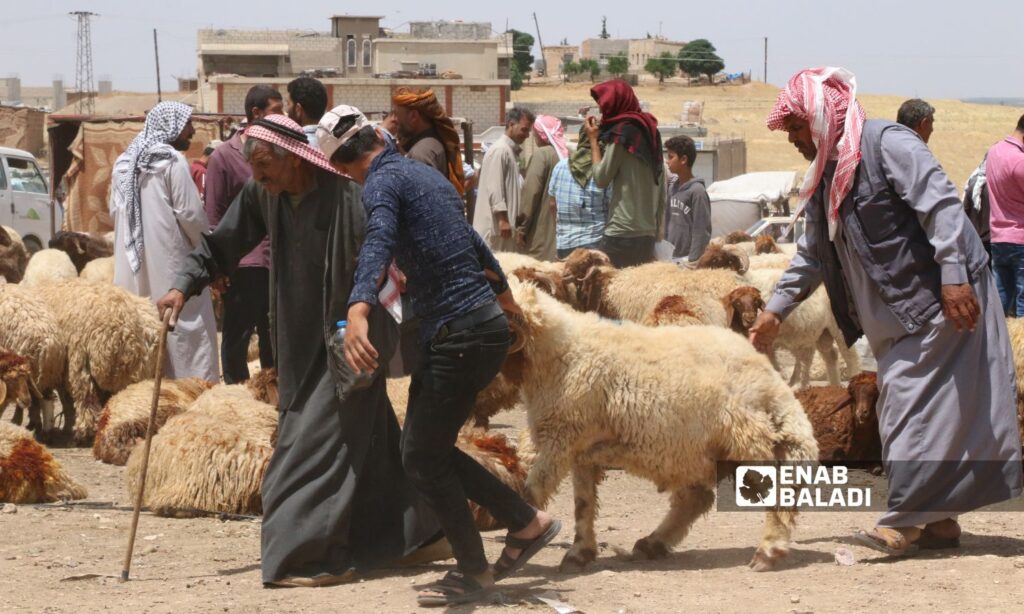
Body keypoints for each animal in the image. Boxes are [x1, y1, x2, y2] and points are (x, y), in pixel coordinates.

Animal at [507, 282, 819, 568]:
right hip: (699, 452)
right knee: (696, 499)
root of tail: (771, 381)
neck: (563, 352)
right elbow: (583, 503)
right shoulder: (579, 445)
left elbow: (534, 490)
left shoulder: (560, 439)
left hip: (748, 441)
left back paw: (769, 550)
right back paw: (652, 543)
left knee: (775, 490)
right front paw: (579, 552)